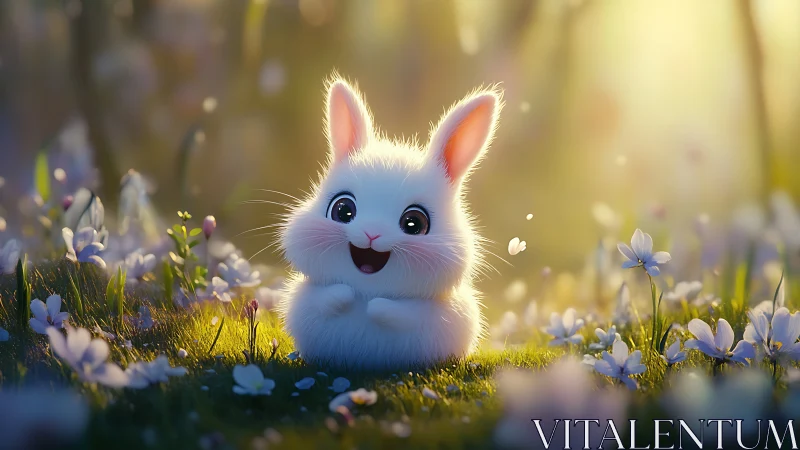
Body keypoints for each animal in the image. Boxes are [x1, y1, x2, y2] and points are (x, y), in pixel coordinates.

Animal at [277, 75, 503, 370]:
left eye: (414, 223)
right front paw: (345, 293)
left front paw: (376, 306)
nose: (371, 234)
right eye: (342, 210)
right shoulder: (306, 297)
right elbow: (326, 297)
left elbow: (403, 312)